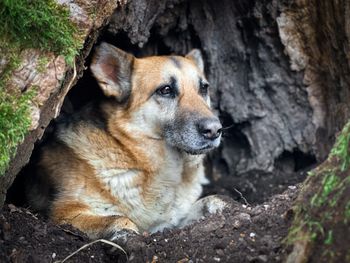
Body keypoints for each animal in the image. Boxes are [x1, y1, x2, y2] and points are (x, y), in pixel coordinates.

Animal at [26, 42, 224, 241]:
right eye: (166, 90)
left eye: (204, 88)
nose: (215, 130)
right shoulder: (66, 212)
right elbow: (120, 218)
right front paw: (126, 235)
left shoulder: (168, 221)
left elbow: (209, 202)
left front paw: (218, 206)